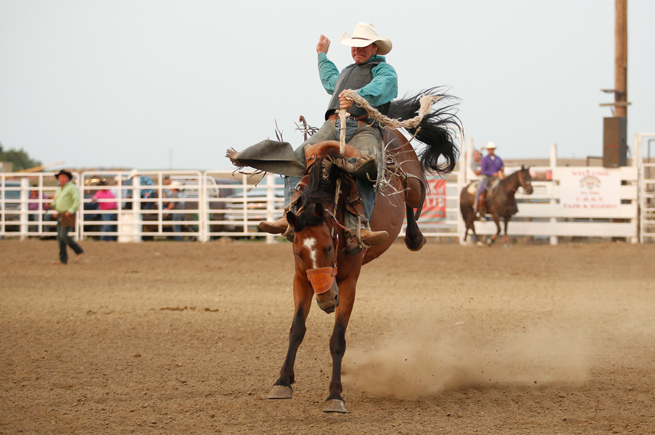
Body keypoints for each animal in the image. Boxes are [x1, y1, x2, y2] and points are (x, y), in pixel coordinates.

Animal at [264, 88, 464, 412]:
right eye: (297, 251)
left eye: (329, 245)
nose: (326, 299)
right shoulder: (300, 278)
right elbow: (296, 329)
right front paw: (283, 381)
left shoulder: (349, 282)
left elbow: (337, 338)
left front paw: (335, 395)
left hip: (412, 183)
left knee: (415, 194)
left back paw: (415, 237)